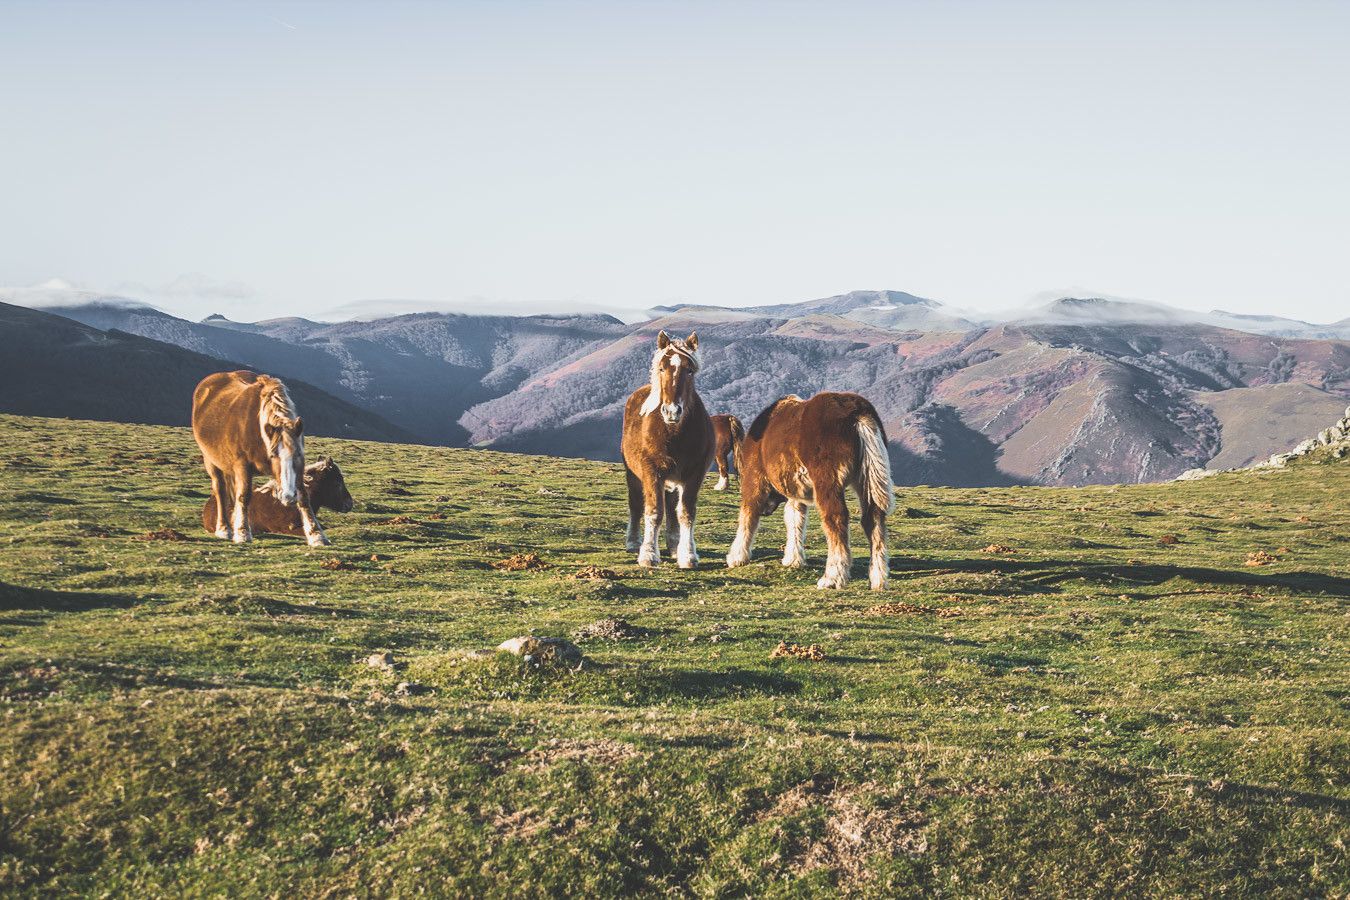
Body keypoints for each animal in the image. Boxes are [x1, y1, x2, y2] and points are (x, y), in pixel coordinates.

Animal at [190, 369, 329, 545]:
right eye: (273, 455)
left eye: (298, 454)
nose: (288, 496)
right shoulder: (242, 465)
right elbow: (244, 495)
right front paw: (243, 533)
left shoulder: (299, 465)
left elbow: (304, 496)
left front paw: (317, 535)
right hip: (211, 461)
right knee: (220, 490)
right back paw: (224, 529)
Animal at [621, 330, 718, 569]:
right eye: (662, 368)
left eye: (689, 370)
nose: (672, 411)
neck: (673, 432)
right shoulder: (651, 471)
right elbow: (654, 510)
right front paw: (648, 554)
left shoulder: (694, 474)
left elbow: (685, 512)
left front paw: (688, 554)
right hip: (633, 473)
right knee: (636, 504)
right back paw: (633, 542)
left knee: (673, 506)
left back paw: (674, 545)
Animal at [729, 391, 896, 591]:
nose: (766, 510)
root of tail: (857, 413)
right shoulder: (795, 491)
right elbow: (794, 519)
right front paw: (793, 559)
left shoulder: (755, 478)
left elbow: (748, 515)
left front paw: (737, 557)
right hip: (866, 478)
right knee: (874, 519)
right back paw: (878, 579)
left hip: (828, 480)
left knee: (836, 518)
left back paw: (832, 577)